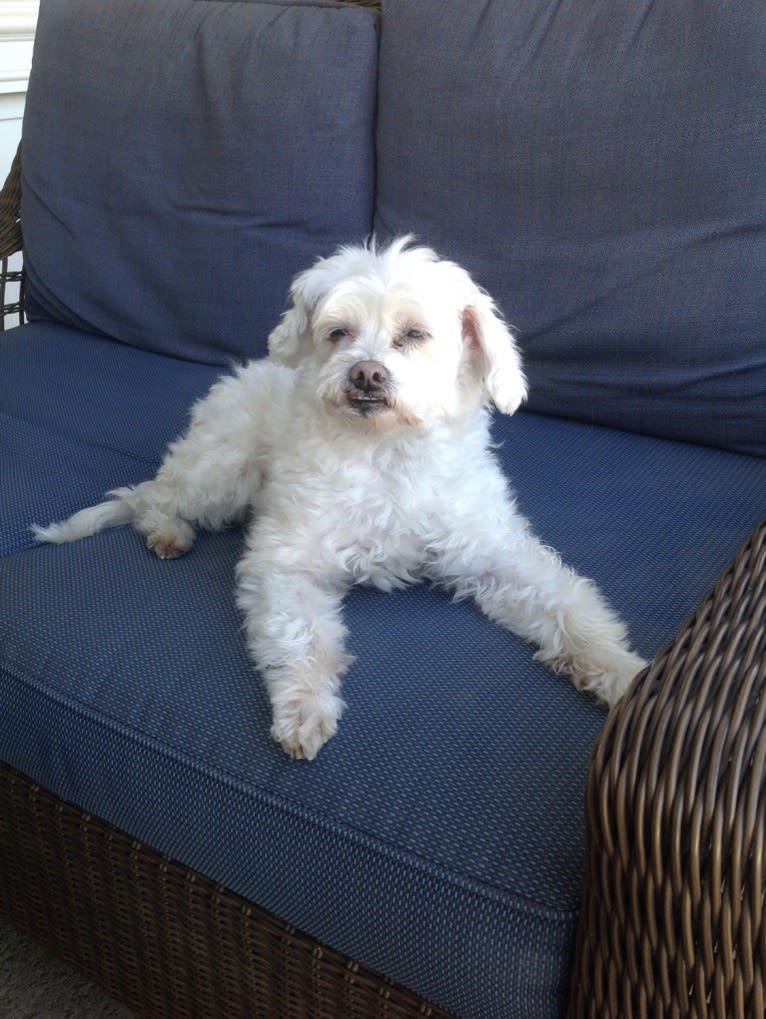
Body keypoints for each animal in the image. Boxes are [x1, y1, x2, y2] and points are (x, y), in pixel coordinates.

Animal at [34, 236, 647, 758]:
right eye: (339, 333)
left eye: (414, 335)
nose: (366, 374)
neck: (386, 452)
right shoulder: (287, 561)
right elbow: (300, 635)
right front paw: (305, 709)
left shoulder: (494, 556)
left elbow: (569, 608)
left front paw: (623, 675)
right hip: (223, 471)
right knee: (151, 496)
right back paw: (168, 530)